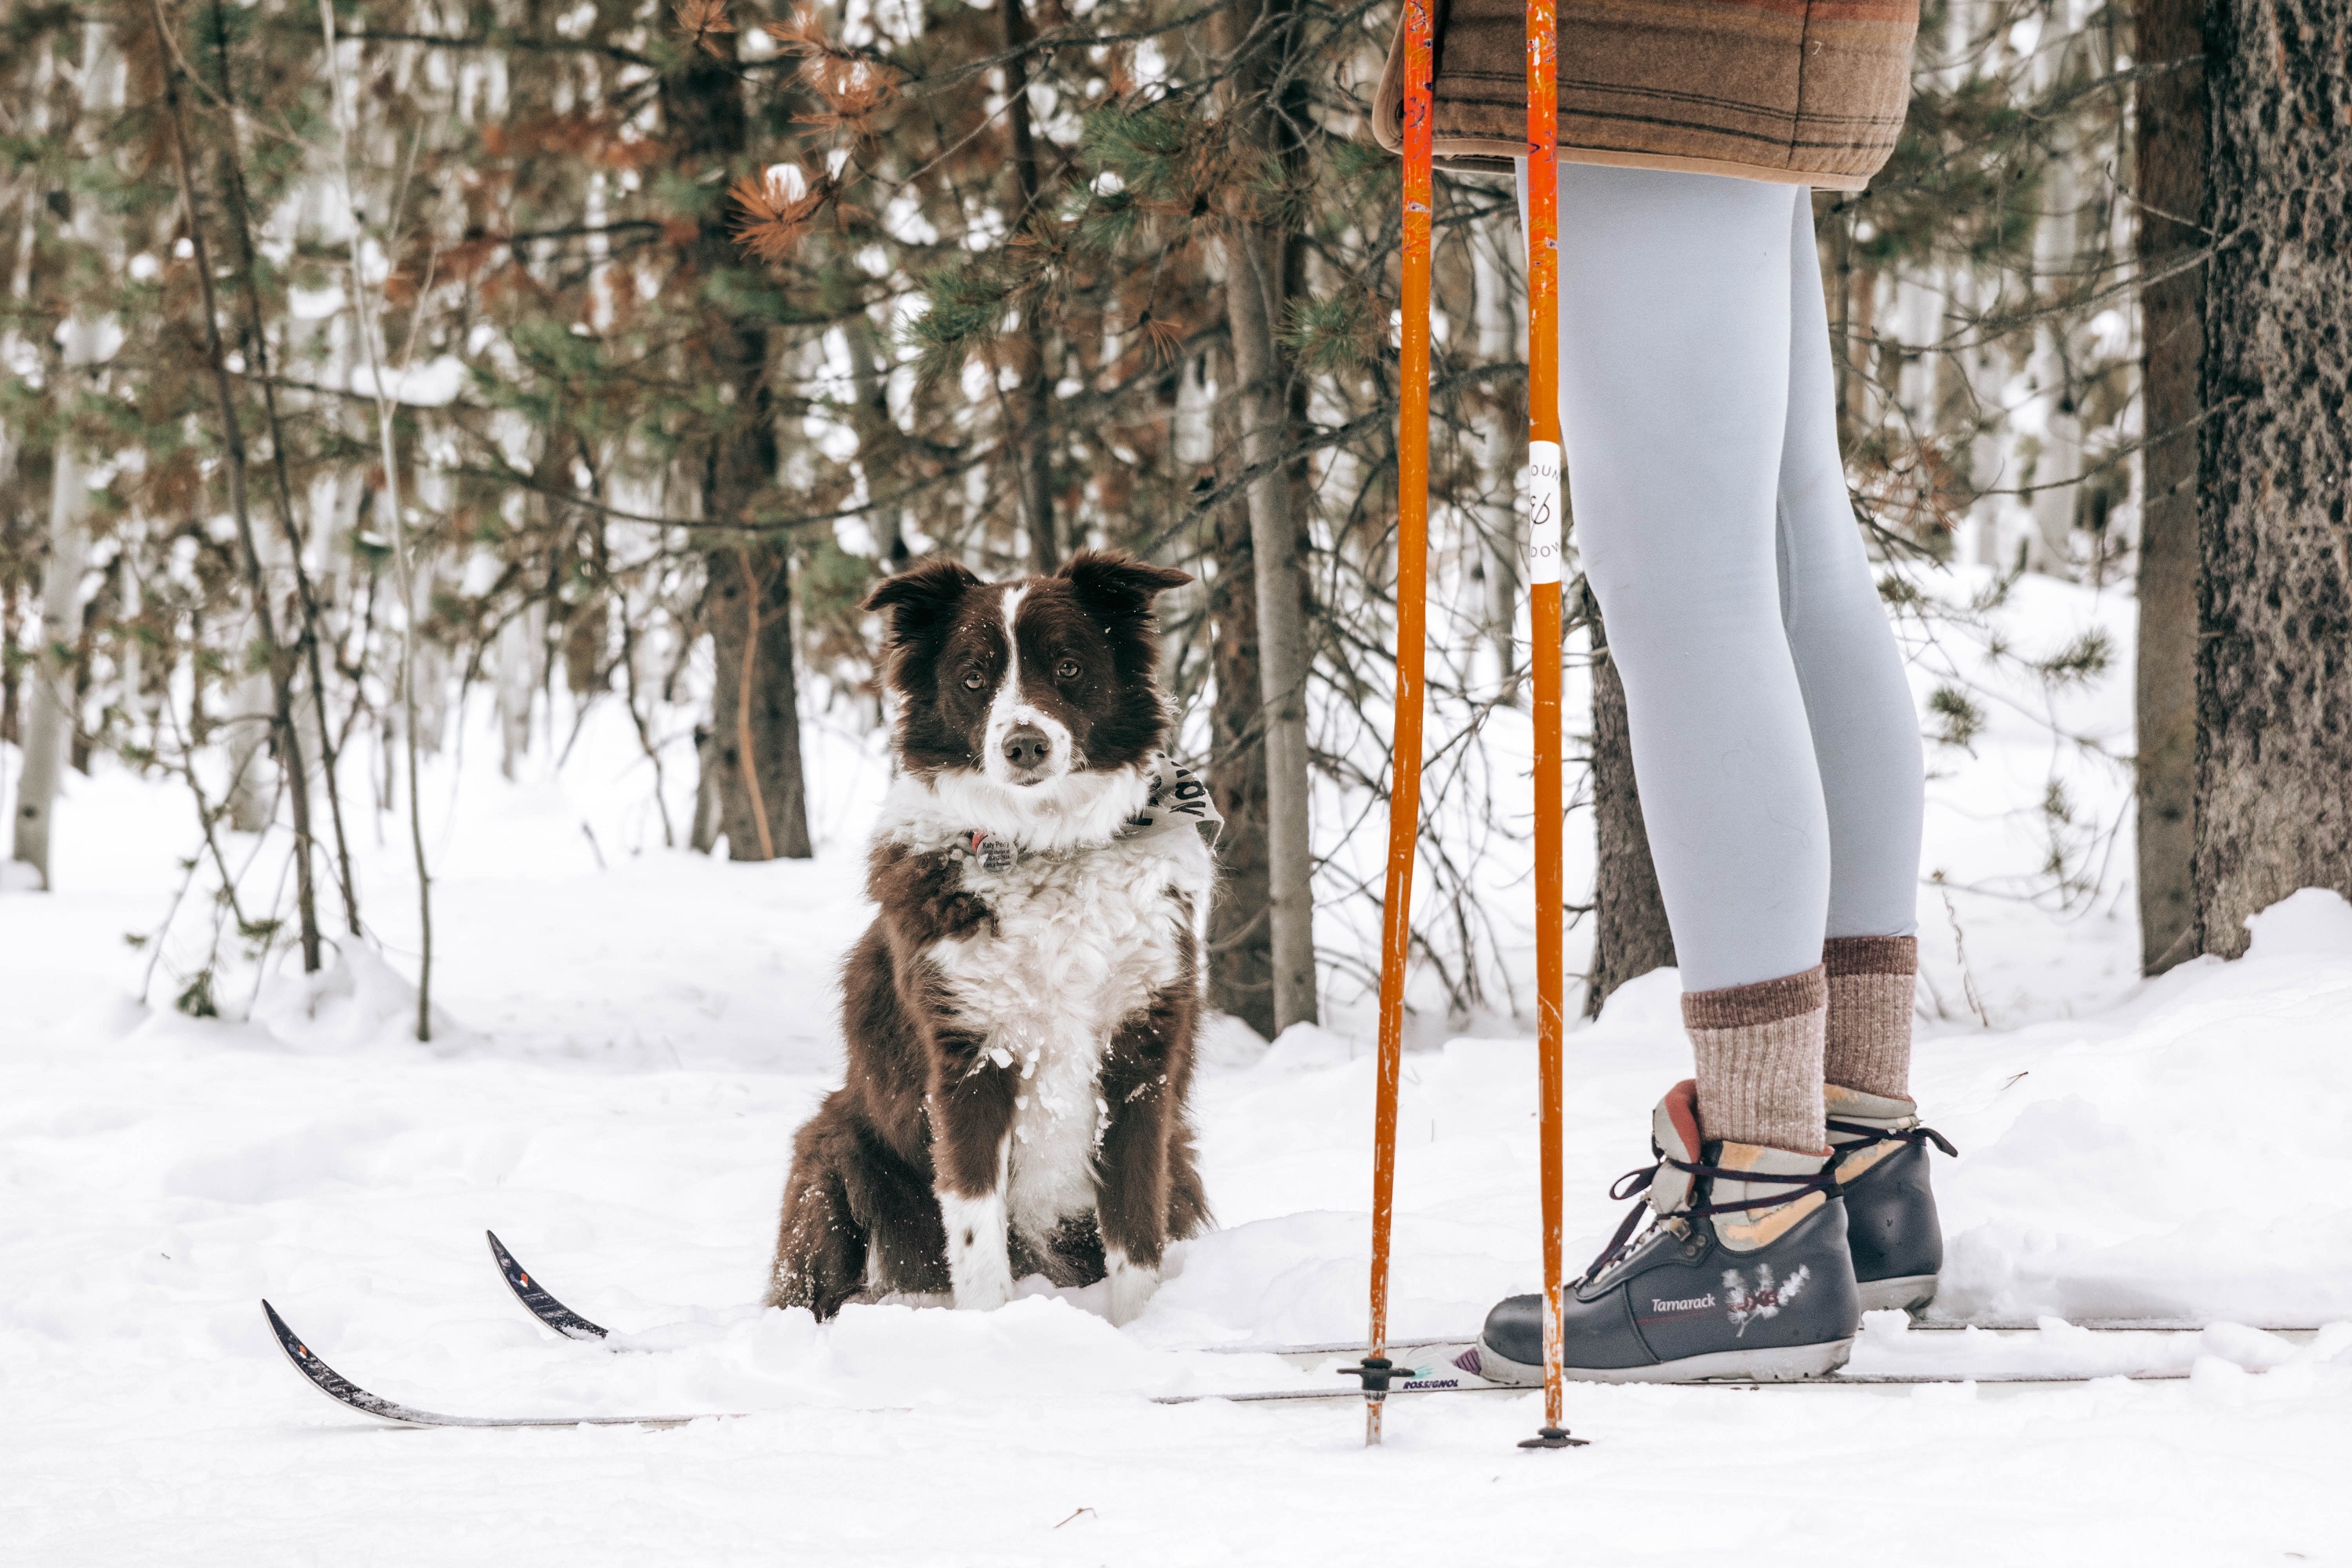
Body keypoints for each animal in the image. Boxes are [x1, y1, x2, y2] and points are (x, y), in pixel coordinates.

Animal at [771, 552, 1214, 1326]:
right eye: (974, 677)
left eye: (1068, 666)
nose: (1024, 744)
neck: (1047, 846)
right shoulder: (970, 1058)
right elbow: (976, 1234)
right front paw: (991, 1332)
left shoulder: (1140, 1059)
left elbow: (1135, 1231)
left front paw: (1137, 1331)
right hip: (835, 1148)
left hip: (1181, 1160)